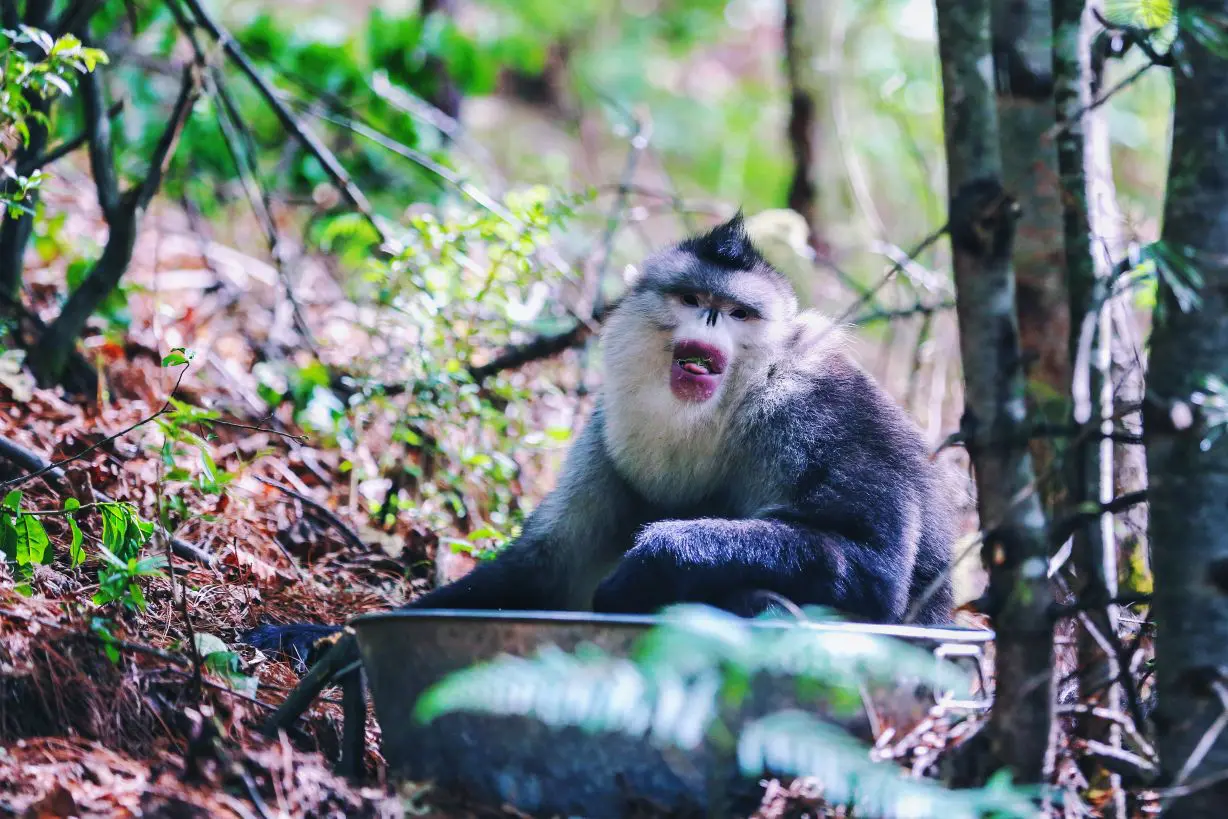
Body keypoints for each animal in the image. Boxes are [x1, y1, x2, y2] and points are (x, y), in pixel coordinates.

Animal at [245, 213, 956, 667]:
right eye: (691, 296)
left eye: (738, 313)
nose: (707, 318)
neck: (733, 408)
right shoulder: (606, 432)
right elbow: (547, 567)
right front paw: (323, 638)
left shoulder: (819, 411)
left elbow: (874, 572)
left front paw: (656, 563)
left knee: (769, 600)